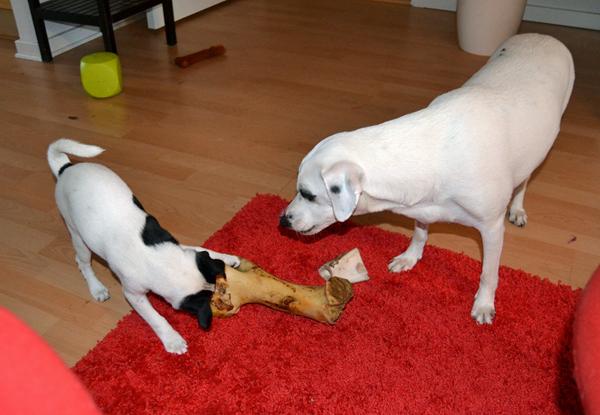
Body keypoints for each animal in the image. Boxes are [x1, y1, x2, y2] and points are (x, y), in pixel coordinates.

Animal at [48, 140, 239, 354]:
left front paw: (227, 258)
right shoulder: (133, 294)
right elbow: (156, 318)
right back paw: (96, 288)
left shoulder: (178, 246)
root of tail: (65, 169)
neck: (162, 261)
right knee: (82, 262)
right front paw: (172, 339)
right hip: (77, 234)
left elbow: (200, 249)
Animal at [278, 33, 576, 324]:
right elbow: (420, 232)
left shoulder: (492, 228)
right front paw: (410, 257)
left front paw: (484, 303)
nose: (283, 220)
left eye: (308, 194)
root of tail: (544, 35)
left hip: (539, 149)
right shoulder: (421, 207)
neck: (432, 151)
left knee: (524, 180)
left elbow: (489, 273)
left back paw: (518, 208)